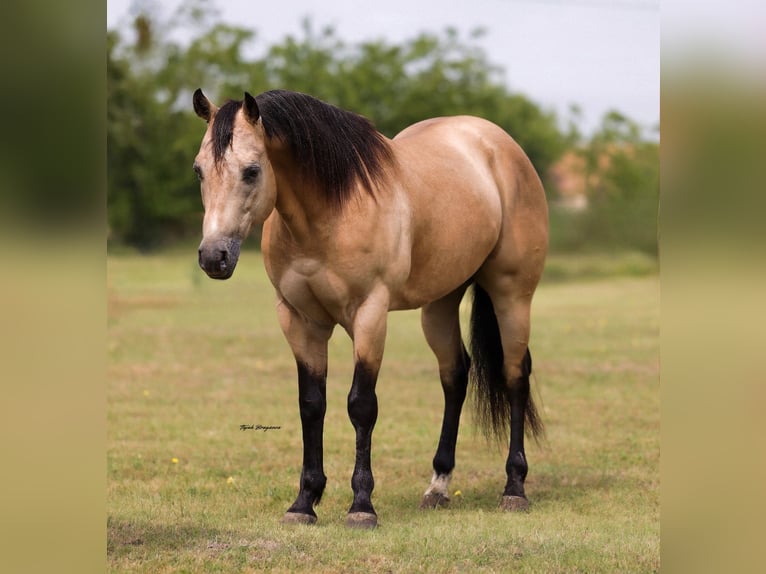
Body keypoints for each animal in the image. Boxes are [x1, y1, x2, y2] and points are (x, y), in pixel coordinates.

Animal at [192, 88, 548, 528]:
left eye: (252, 171)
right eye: (199, 171)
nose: (214, 257)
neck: (331, 212)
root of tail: (500, 144)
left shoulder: (369, 314)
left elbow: (361, 405)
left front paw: (361, 505)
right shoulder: (299, 320)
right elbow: (311, 405)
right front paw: (304, 502)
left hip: (512, 294)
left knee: (514, 375)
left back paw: (514, 488)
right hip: (440, 303)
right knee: (455, 376)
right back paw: (438, 486)